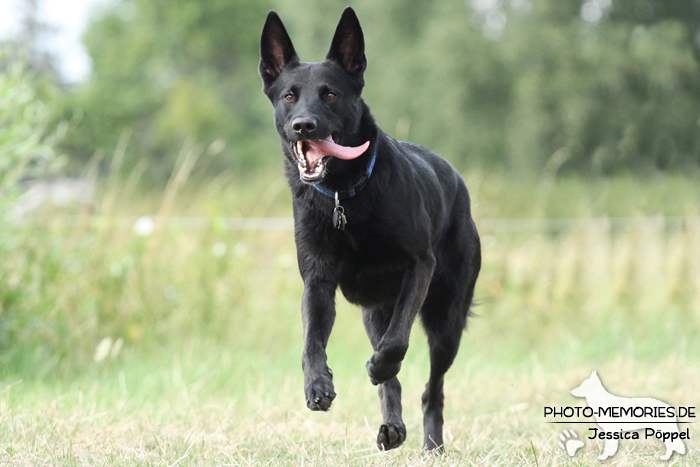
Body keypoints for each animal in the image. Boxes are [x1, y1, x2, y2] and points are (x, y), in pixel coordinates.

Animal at [258, 6, 482, 454]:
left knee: (431, 387)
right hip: (376, 312)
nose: (304, 126)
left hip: (446, 320)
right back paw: (393, 428)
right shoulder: (318, 282)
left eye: (330, 94)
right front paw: (317, 386)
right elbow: (312, 341)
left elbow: (396, 345)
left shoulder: (418, 268)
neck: (344, 196)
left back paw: (431, 443)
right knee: (393, 380)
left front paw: (377, 366)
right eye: (289, 96)